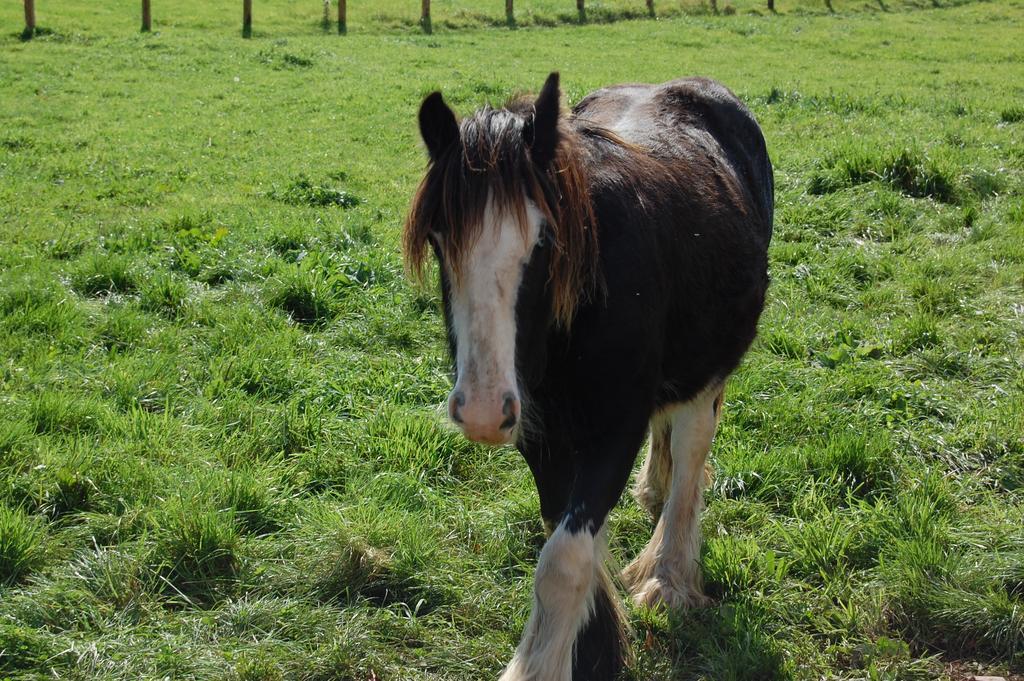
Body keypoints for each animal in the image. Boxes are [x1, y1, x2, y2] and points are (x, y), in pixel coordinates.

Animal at [403, 73, 770, 679]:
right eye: (438, 239)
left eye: (545, 240)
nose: (481, 411)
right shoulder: (540, 431)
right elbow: (562, 532)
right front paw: (596, 643)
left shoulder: (616, 430)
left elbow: (563, 560)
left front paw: (546, 663)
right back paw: (655, 488)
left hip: (711, 362)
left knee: (692, 448)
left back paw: (668, 574)